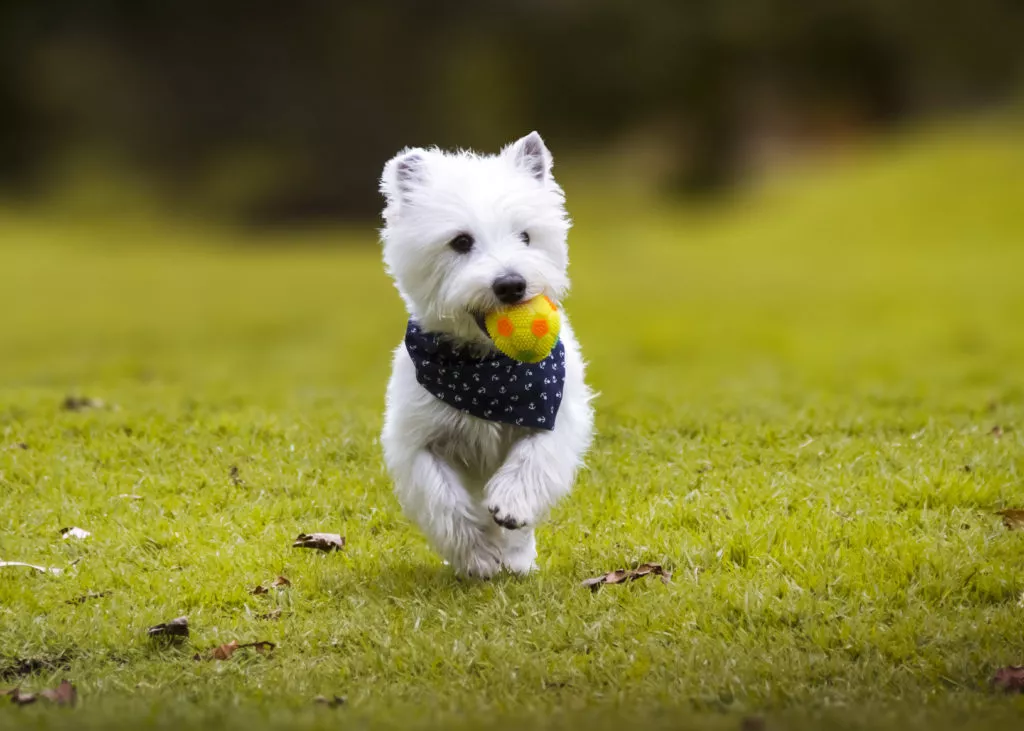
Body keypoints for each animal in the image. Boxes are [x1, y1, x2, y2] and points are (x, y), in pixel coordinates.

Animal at [380, 129, 598, 573]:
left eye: (526, 236)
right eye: (461, 242)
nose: (511, 284)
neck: (488, 371)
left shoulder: (554, 411)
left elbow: (535, 455)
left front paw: (511, 505)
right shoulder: (416, 441)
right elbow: (443, 499)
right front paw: (478, 556)